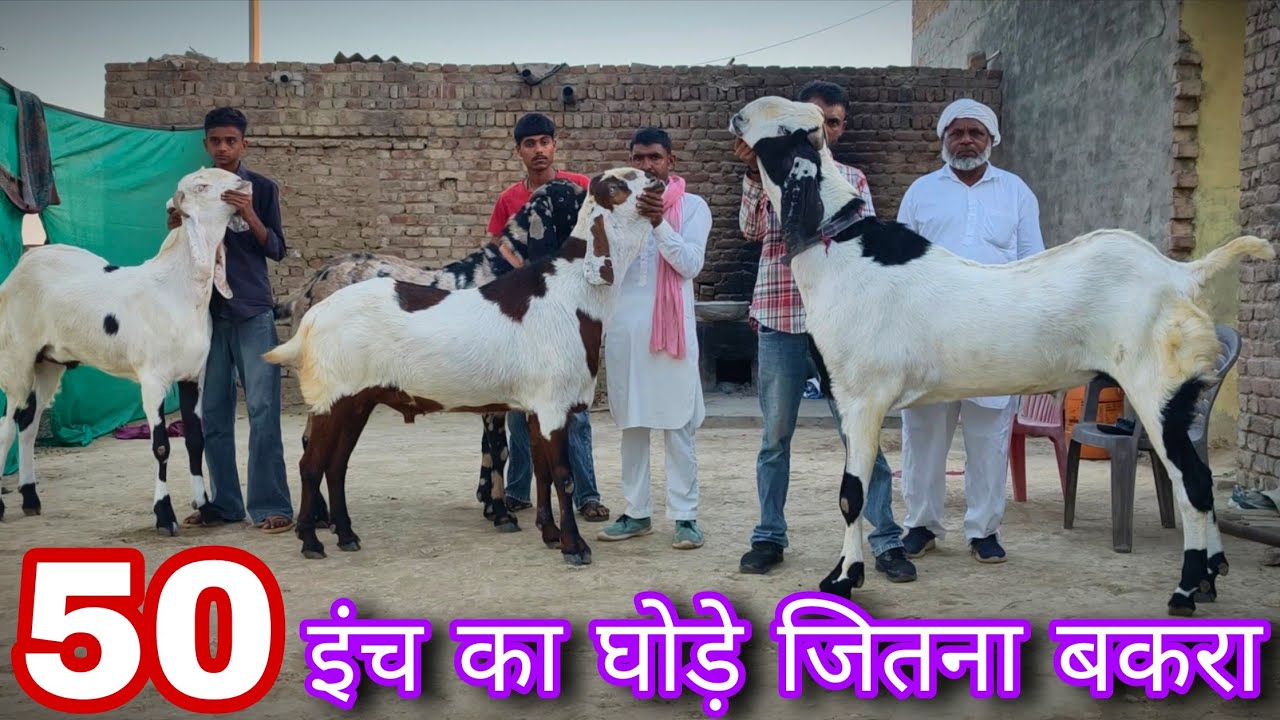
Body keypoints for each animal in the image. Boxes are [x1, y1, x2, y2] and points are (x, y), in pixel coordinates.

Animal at [0, 167, 247, 534]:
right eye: (201, 186)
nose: (244, 184)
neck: (176, 289)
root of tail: (25, 261)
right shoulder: (153, 380)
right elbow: (161, 446)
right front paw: (164, 514)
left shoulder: (193, 375)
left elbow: (195, 441)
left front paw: (204, 508)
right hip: (17, 359)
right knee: (7, 424)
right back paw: (4, 504)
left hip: (48, 363)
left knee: (28, 422)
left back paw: (31, 498)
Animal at [262, 168, 662, 566]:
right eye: (616, 186)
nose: (658, 181)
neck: (568, 291)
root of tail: (311, 309)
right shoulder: (552, 405)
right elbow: (560, 475)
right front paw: (572, 546)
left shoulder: (535, 406)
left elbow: (543, 472)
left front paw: (548, 534)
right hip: (333, 398)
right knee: (311, 464)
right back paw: (311, 540)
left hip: (356, 401)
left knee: (336, 465)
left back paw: (345, 534)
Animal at [729, 95, 1276, 617]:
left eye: (784, 131)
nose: (738, 115)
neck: (841, 245)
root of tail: (1180, 275)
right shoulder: (851, 399)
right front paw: (844, 573)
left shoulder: (861, 398)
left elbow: (852, 494)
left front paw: (845, 579)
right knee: (1200, 478)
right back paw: (1208, 580)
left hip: (1158, 387)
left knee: (1193, 484)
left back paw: (1185, 591)